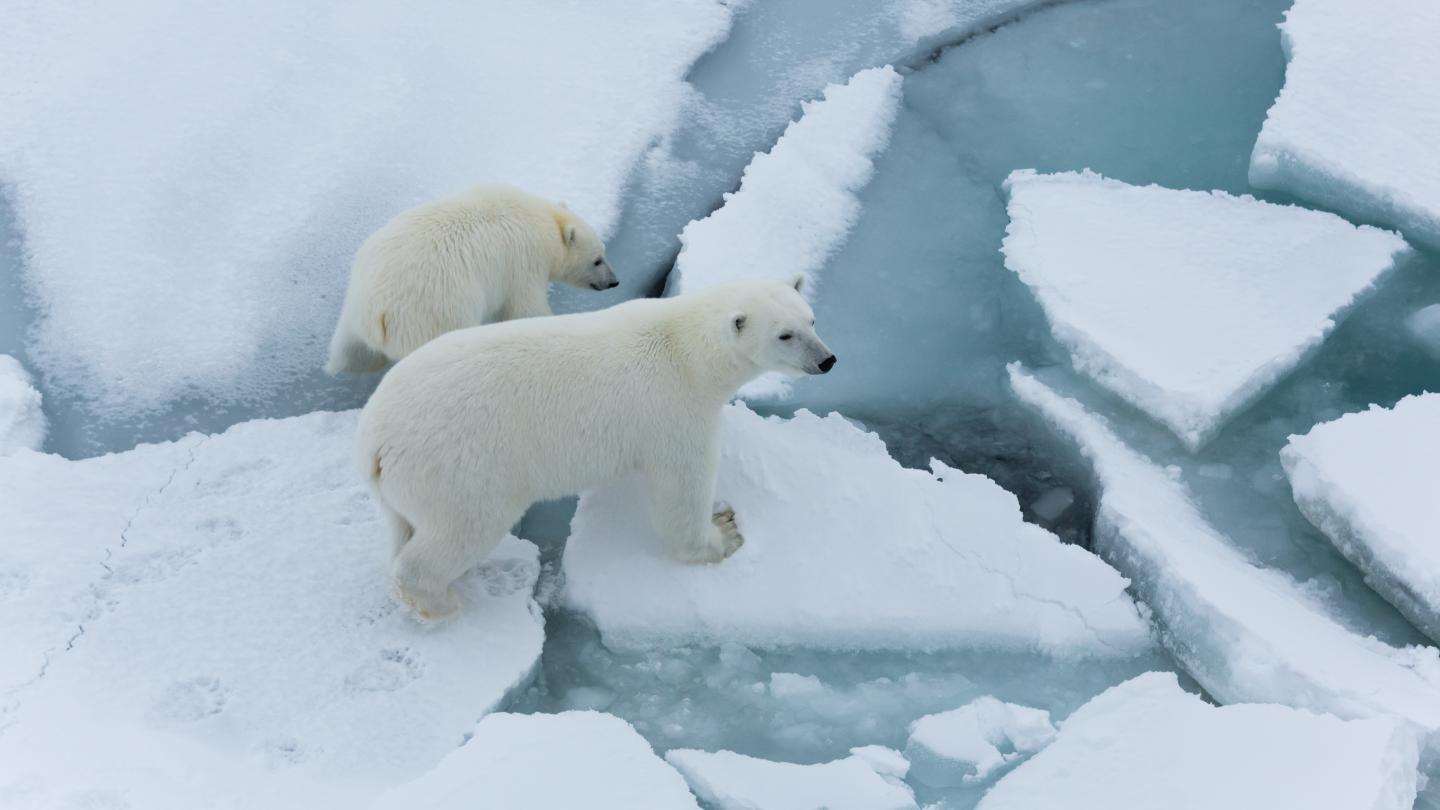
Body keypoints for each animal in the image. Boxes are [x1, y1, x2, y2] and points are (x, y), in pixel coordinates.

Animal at [326, 184, 618, 374]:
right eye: (597, 259)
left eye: (603, 252)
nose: (614, 282)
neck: (542, 220)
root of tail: (377, 312)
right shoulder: (522, 264)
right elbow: (525, 309)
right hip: (435, 312)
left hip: (353, 311)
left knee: (350, 352)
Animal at [357, 276, 836, 620]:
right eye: (784, 335)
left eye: (812, 320)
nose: (827, 360)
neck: (687, 351)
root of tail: (375, 440)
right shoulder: (674, 411)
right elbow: (682, 488)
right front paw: (723, 534)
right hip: (459, 466)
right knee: (462, 527)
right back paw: (440, 602)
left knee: (404, 527)